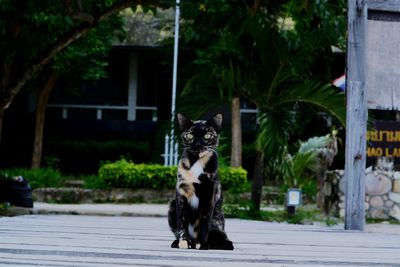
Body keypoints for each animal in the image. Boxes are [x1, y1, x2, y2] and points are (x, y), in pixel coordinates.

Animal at [166, 113, 234, 251]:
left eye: (207, 135)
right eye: (190, 135)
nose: (197, 144)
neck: (196, 162)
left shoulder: (208, 196)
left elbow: (204, 222)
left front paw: (202, 244)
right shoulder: (181, 194)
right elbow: (182, 223)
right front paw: (183, 242)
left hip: (217, 222)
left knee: (223, 240)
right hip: (172, 206)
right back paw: (179, 242)